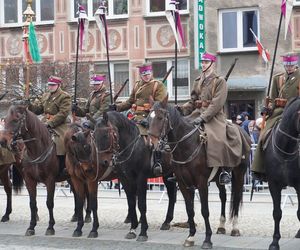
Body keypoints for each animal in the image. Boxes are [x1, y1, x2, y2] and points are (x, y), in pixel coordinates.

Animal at [63, 112, 176, 241]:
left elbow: (141, 204)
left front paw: (143, 232)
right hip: (167, 173)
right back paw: (166, 222)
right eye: (94, 137)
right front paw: (133, 229)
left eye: (106, 135)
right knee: (172, 194)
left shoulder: (140, 178)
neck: (131, 145)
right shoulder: (124, 178)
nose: (103, 162)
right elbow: (131, 202)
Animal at [146, 95, 250, 248]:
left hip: (239, 173)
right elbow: (190, 210)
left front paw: (207, 239)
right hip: (218, 179)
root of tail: (243, 132)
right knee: (223, 196)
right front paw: (190, 236)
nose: (151, 143)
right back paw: (221, 226)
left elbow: (204, 211)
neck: (186, 145)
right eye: (148, 118)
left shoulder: (201, 183)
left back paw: (235, 228)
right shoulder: (184, 184)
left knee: (236, 197)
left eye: (160, 117)